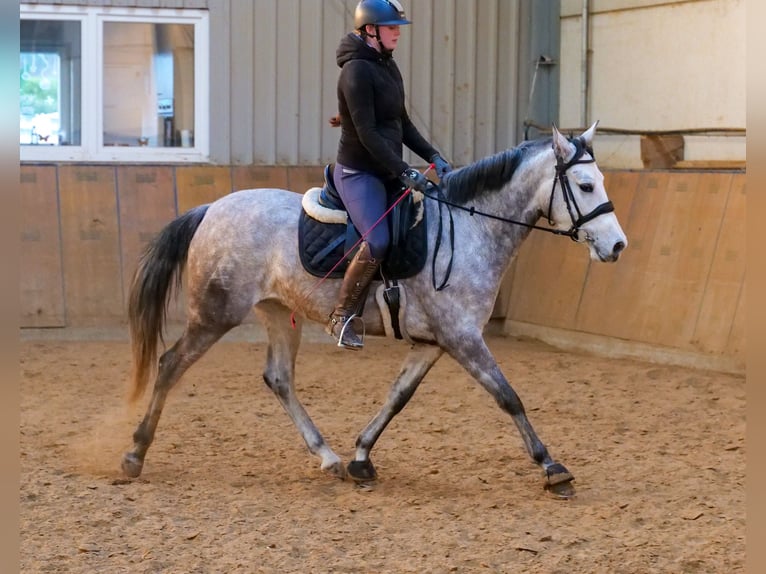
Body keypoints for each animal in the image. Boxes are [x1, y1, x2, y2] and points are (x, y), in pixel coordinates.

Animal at [123, 122, 632, 500]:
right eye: (586, 185)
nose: (617, 246)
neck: (470, 230)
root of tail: (211, 209)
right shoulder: (463, 337)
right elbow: (508, 396)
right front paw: (552, 467)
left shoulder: (434, 343)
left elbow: (397, 397)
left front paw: (361, 458)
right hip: (216, 313)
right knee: (170, 364)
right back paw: (135, 454)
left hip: (277, 312)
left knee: (279, 379)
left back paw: (327, 457)